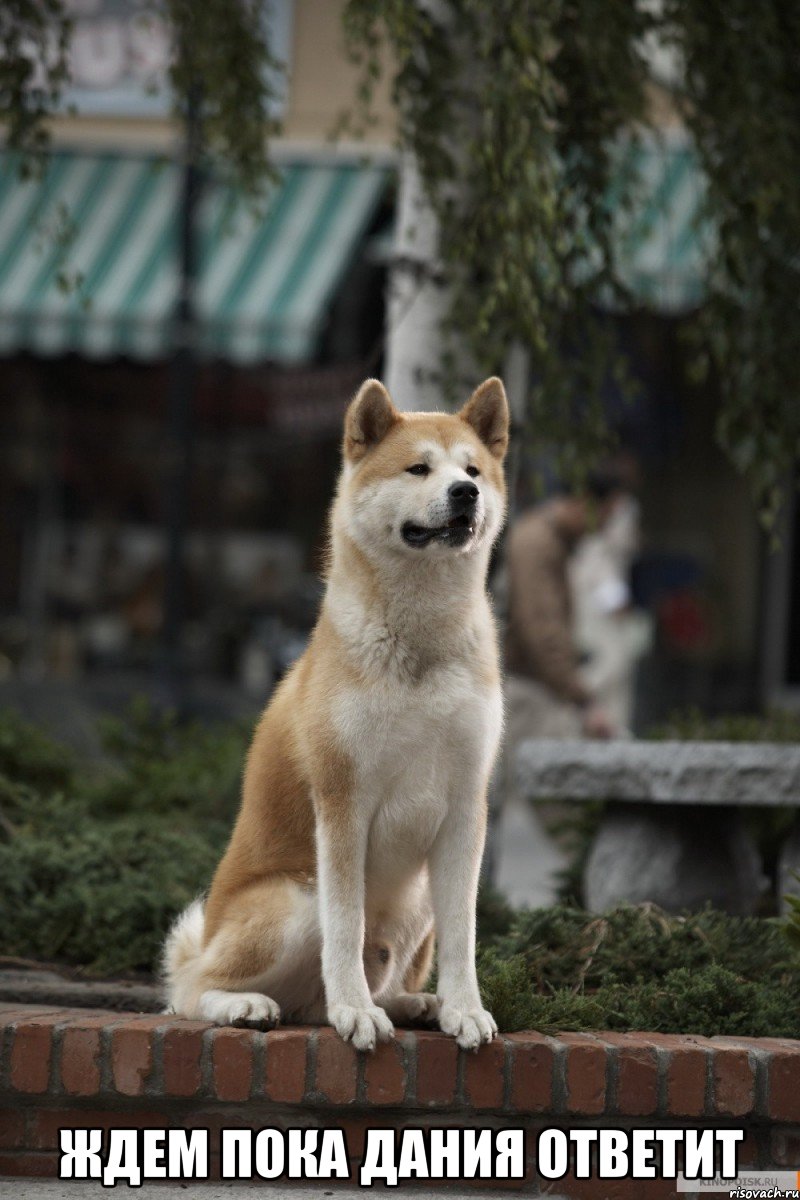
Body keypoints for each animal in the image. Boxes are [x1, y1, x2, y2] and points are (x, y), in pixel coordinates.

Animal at [164, 376, 506, 1051]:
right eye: (419, 468)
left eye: (473, 469)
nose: (466, 493)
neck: (420, 645)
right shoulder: (344, 801)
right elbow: (345, 928)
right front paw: (355, 1011)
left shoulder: (465, 806)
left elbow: (465, 934)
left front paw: (464, 1009)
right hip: (296, 900)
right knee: (189, 990)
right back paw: (251, 1004)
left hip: (416, 900)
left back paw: (412, 1003)